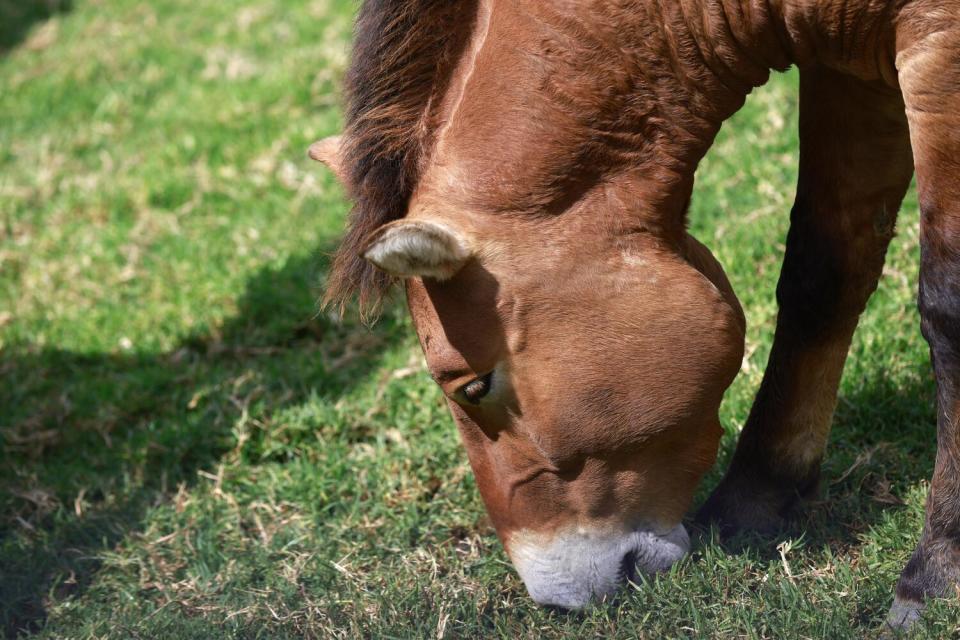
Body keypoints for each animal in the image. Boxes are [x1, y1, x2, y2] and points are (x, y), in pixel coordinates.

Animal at [310, 0, 960, 632]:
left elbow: (946, 307)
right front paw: (755, 499)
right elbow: (822, 274)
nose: (555, 601)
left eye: (473, 387)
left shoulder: (938, 55)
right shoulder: (845, 68)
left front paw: (935, 571)